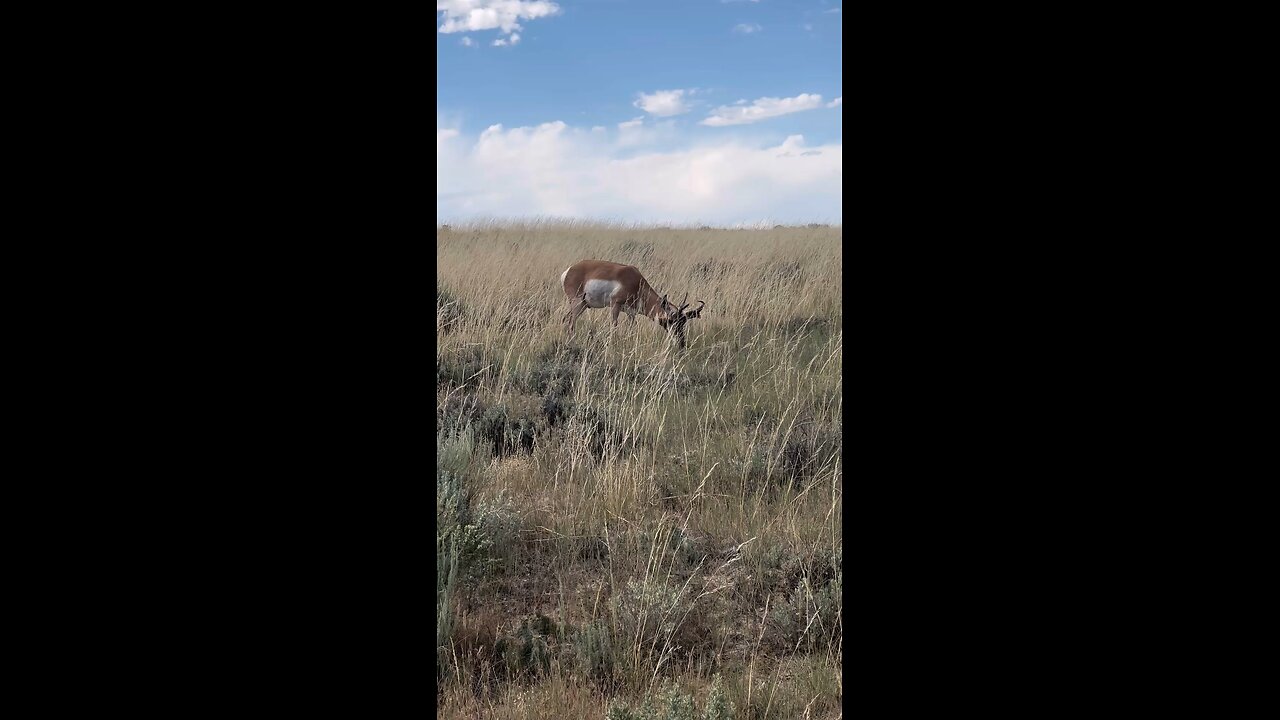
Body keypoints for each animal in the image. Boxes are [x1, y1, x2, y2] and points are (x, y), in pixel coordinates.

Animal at [560, 258, 706, 348]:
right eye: (671, 321)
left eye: (683, 323)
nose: (681, 344)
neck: (636, 282)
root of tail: (570, 269)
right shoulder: (615, 305)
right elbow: (614, 326)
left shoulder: (631, 313)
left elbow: (632, 329)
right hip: (578, 303)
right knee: (570, 321)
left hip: (583, 305)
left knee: (566, 319)